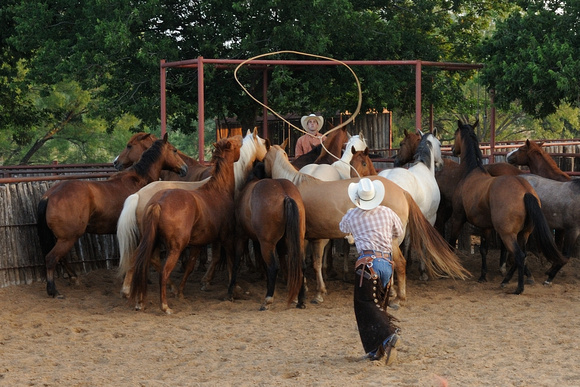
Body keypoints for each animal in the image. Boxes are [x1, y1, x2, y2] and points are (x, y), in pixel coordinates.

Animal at [36, 135, 189, 298]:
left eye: (129, 146)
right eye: (174, 150)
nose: (184, 168)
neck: (138, 180)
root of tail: (50, 194)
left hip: (63, 238)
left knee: (61, 258)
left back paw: (74, 278)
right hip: (68, 238)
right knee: (51, 259)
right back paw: (53, 290)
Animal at [129, 138, 240, 314]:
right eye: (235, 145)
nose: (241, 141)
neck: (218, 190)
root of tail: (158, 203)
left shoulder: (198, 243)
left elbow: (190, 266)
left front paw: (181, 292)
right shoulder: (226, 238)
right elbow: (230, 263)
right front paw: (232, 290)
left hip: (150, 242)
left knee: (142, 264)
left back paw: (140, 302)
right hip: (175, 248)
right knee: (163, 273)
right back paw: (165, 306)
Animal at [228, 162, 308, 310]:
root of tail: (285, 195)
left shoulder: (242, 236)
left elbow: (236, 262)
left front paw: (230, 292)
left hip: (267, 243)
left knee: (273, 267)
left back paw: (268, 299)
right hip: (296, 240)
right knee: (301, 265)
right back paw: (300, 300)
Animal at [260, 139, 468, 306]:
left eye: (263, 159)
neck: (296, 184)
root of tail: (401, 191)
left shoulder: (302, 237)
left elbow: (303, 263)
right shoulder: (317, 238)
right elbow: (316, 264)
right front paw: (319, 292)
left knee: (400, 263)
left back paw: (399, 298)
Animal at [448, 121, 568, 294]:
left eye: (456, 133)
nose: (452, 149)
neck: (471, 173)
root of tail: (525, 192)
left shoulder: (458, 218)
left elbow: (451, 244)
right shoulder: (486, 227)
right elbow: (483, 250)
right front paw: (482, 276)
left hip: (507, 234)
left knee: (518, 255)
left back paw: (518, 287)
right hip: (524, 234)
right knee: (522, 255)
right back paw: (508, 280)